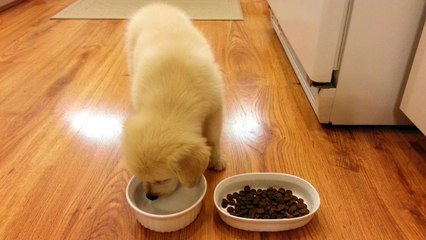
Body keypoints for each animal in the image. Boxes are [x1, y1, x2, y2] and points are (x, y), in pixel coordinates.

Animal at [121, 3, 225, 201]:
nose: (150, 197)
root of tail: (154, 6)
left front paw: (217, 159)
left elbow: (213, 138)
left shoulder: (215, 108)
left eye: (161, 180)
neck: (169, 102)